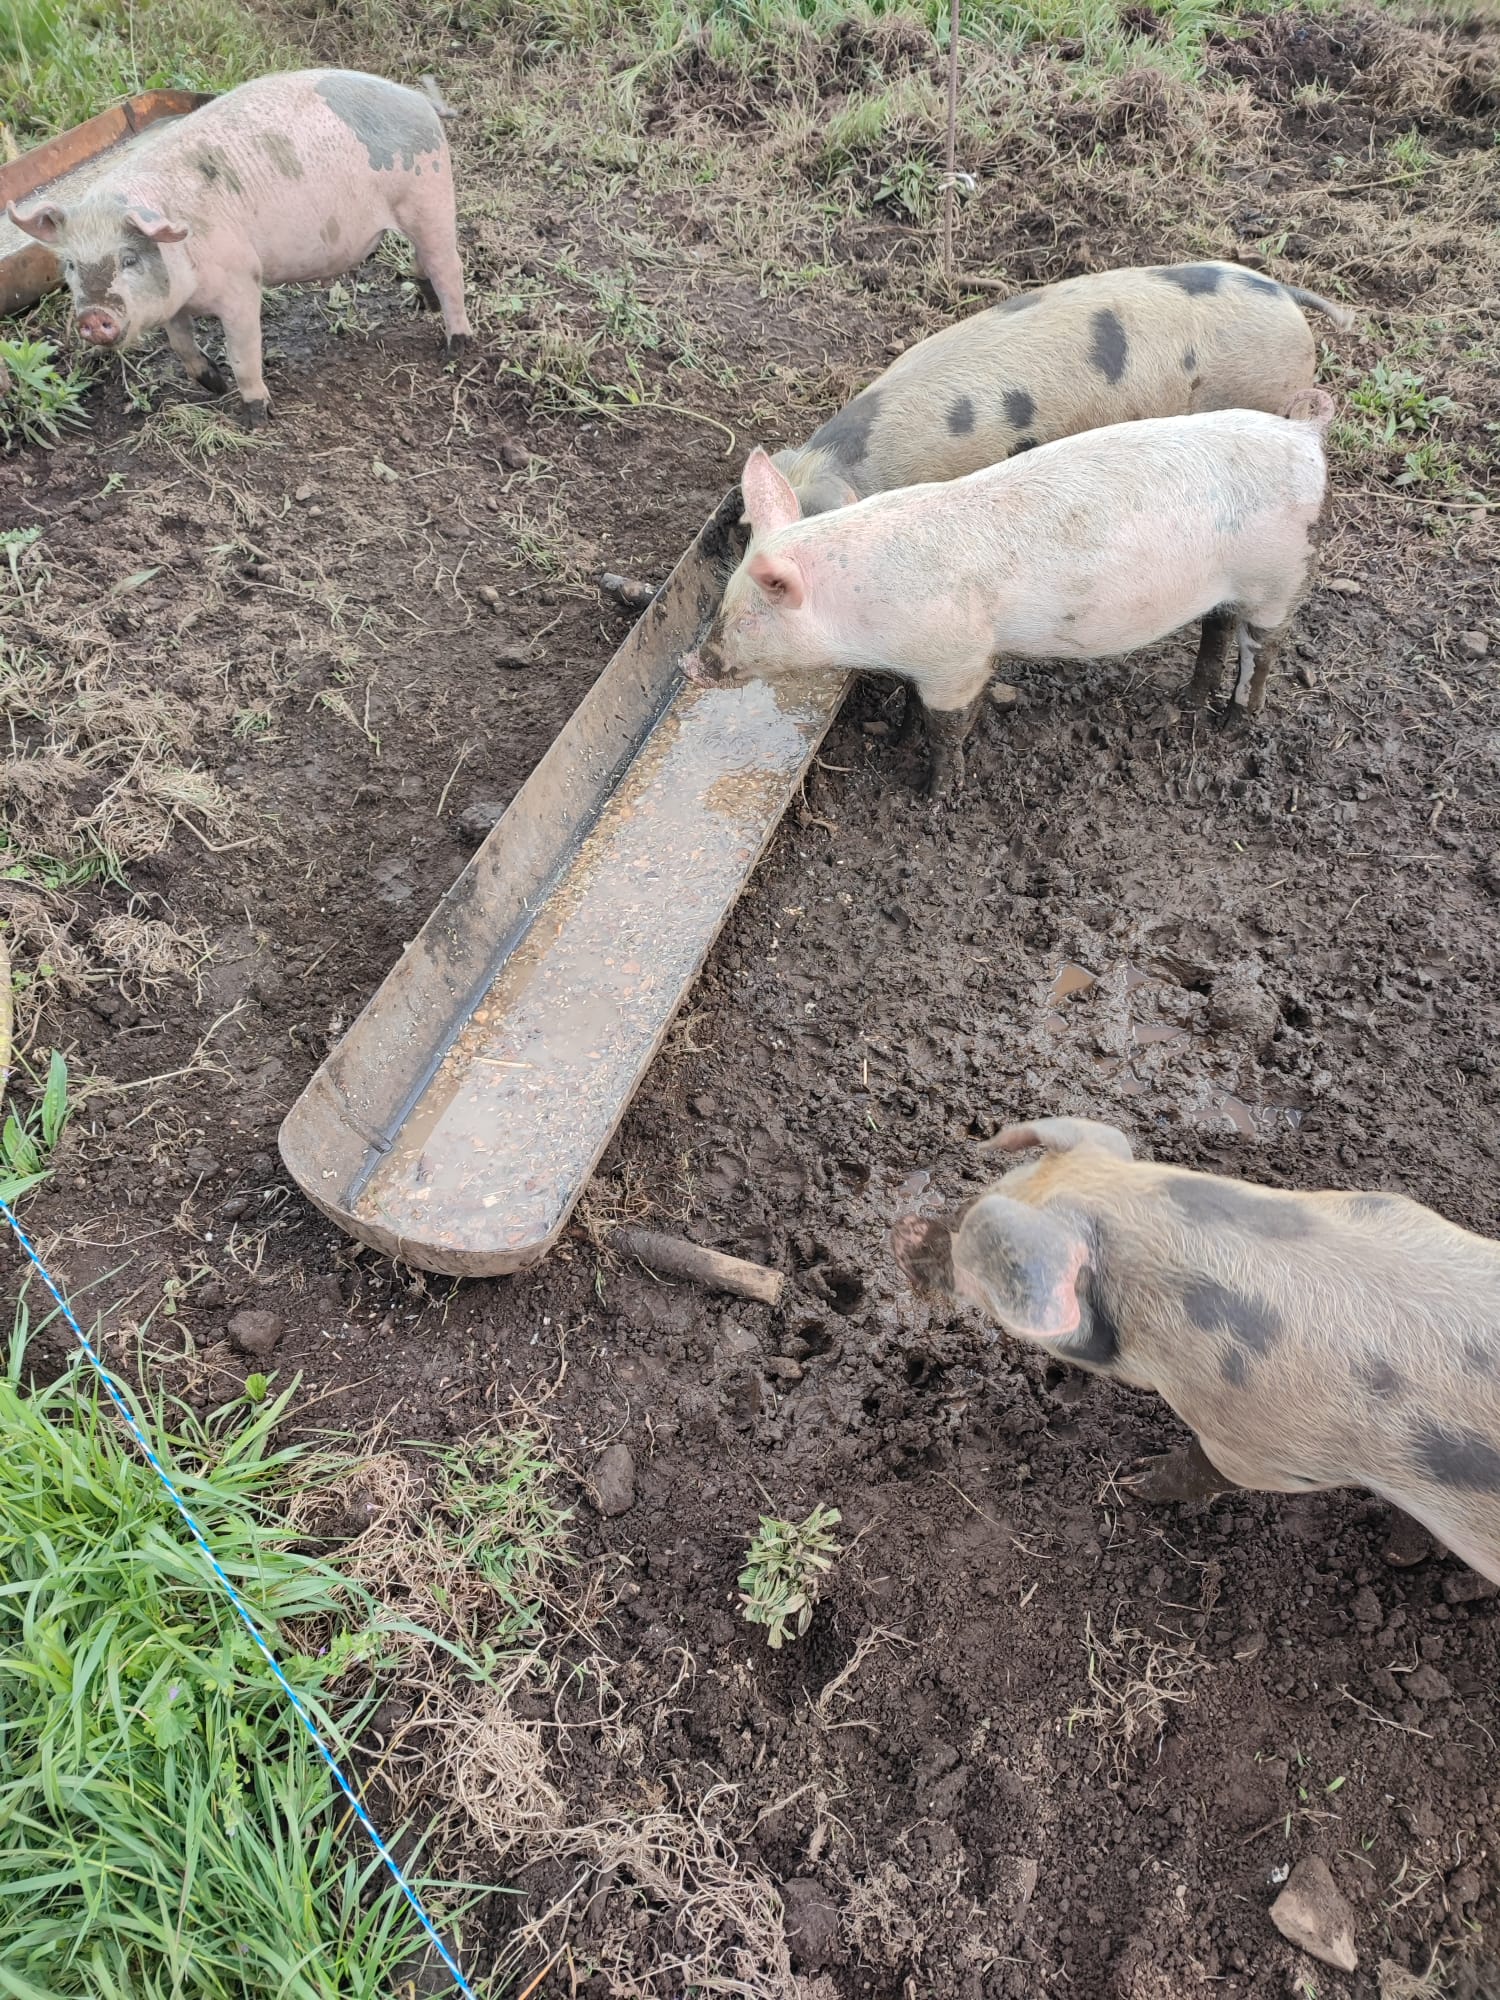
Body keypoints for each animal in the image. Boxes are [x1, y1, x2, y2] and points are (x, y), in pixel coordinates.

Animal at [7, 69, 472, 427]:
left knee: (450, 267)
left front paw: (254, 417)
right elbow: (180, 342)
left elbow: (243, 351)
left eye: (129, 258)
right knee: (426, 262)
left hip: (430, 195)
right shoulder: (174, 302)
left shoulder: (241, 285)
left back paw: (456, 347)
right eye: (69, 265)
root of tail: (417, 100)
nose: (92, 316)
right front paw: (213, 384)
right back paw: (424, 301)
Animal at [687, 393, 1334, 797]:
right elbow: (910, 704)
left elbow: (947, 727)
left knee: (1262, 648)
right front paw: (891, 738)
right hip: (1226, 587)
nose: (694, 662)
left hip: (1277, 575)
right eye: (721, 604)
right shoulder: (926, 658)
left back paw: (1231, 729)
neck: (862, 606)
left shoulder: (960, 657)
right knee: (1216, 631)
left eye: (748, 618)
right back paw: (1182, 709)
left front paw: (930, 795)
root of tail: (1303, 432)